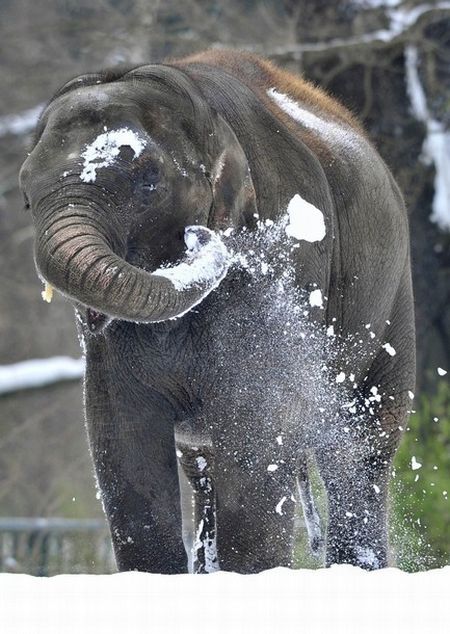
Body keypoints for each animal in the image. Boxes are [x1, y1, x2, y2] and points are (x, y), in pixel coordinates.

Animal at [20, 49, 414, 572]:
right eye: (26, 197)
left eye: (149, 182)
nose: (198, 236)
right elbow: (121, 436)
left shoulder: (283, 260)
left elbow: (255, 428)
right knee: (203, 466)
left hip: (393, 296)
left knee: (363, 447)